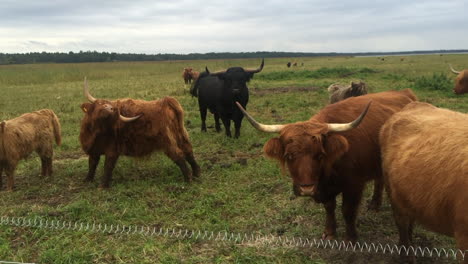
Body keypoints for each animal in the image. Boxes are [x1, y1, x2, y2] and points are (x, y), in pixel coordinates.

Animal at [238, 89, 416, 242]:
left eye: (320, 155)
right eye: (289, 156)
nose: (306, 189)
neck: (328, 173)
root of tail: (405, 93)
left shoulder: (354, 185)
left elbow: (348, 211)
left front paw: (350, 237)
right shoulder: (324, 189)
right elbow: (329, 207)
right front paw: (330, 232)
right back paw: (374, 204)